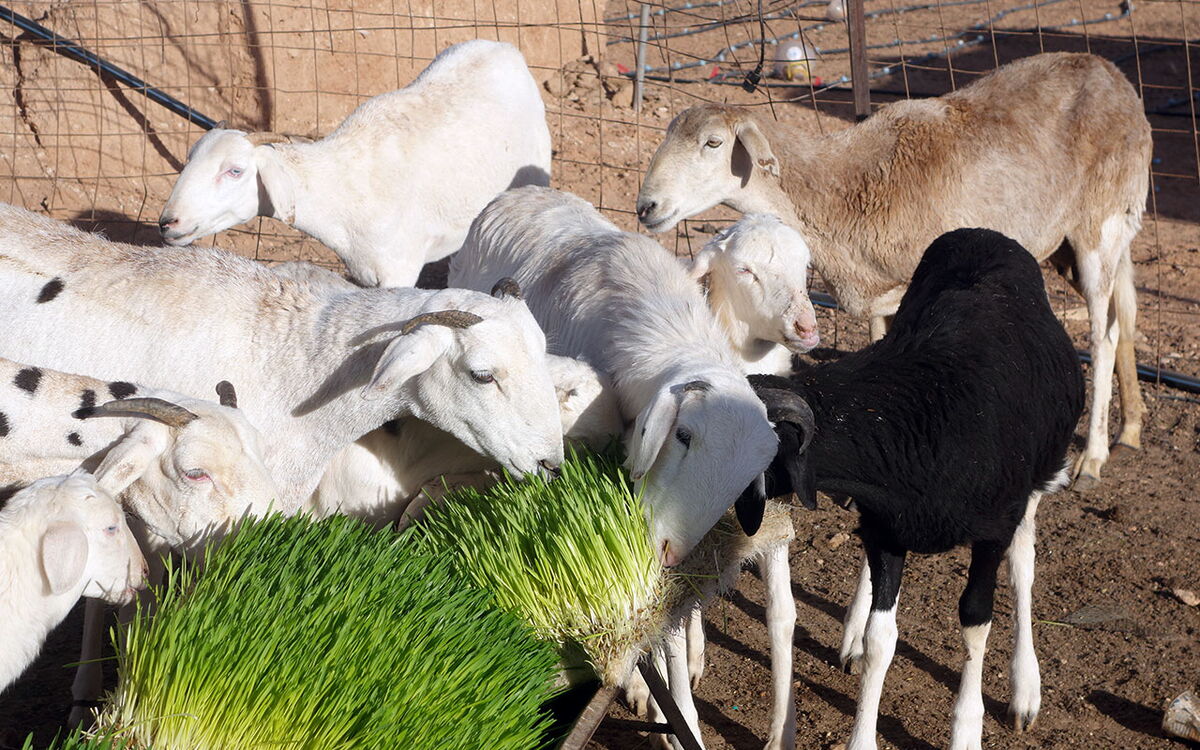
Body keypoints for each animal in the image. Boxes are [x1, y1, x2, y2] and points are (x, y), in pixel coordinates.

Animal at [750, 228, 1084, 750]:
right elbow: (880, 638)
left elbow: (976, 620)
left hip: (1034, 485)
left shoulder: (993, 530)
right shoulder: (888, 526)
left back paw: (1025, 686)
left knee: (1023, 567)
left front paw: (967, 730)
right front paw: (862, 733)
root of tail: (984, 234)